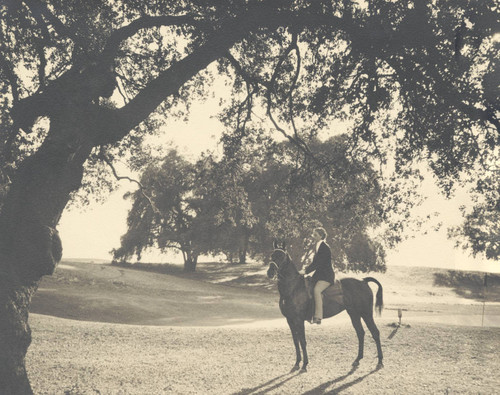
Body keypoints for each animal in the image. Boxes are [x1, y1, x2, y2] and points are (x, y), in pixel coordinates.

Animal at [270, 244, 382, 374]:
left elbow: (302, 341)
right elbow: (295, 341)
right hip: (354, 314)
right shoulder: (290, 320)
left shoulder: (299, 320)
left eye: (281, 256)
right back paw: (357, 359)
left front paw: (304, 365)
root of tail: (363, 281)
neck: (293, 288)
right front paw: (297, 363)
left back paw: (380, 362)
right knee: (360, 333)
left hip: (366, 314)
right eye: (271, 255)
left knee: (375, 332)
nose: (270, 272)